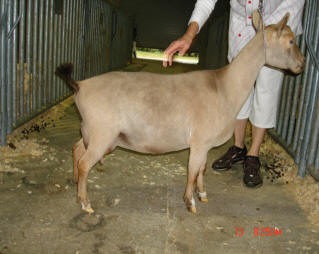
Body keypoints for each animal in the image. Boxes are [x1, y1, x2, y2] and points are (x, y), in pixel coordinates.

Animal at [57, 11, 304, 214]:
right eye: (291, 40)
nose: (302, 63)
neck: (225, 86)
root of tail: (80, 85)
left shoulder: (205, 144)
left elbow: (202, 169)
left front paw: (202, 195)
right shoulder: (199, 140)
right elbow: (193, 170)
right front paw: (190, 202)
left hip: (93, 131)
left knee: (77, 149)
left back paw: (74, 183)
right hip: (103, 133)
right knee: (85, 162)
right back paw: (85, 203)